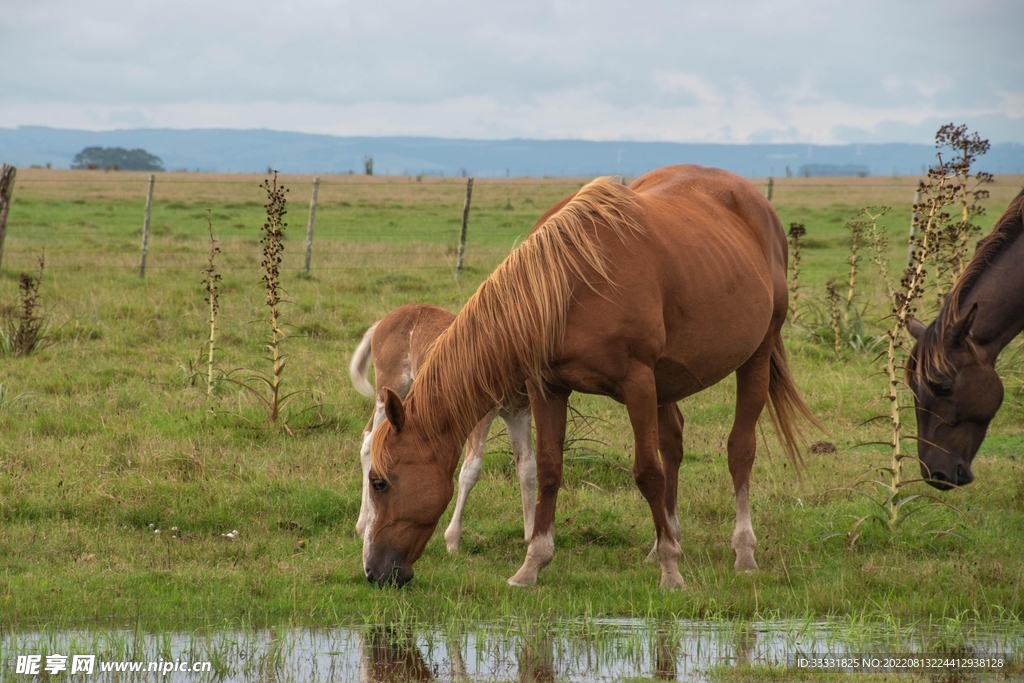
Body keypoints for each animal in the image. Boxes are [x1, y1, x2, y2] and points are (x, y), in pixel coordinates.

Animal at [350, 303, 536, 553]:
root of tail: (384, 321)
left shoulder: (519, 413)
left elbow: (527, 468)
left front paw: (531, 536)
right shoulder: (481, 416)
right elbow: (470, 470)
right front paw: (453, 539)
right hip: (390, 388)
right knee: (370, 442)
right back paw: (362, 524)